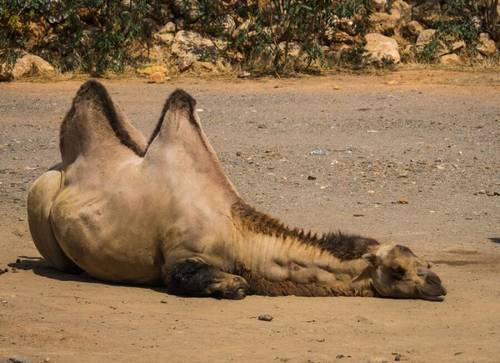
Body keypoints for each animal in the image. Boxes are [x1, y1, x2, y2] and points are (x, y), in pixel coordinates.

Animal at [27, 81, 448, 302]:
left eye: (422, 259)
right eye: (398, 269)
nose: (437, 283)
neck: (239, 234)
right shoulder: (179, 257)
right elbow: (193, 278)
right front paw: (232, 285)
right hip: (38, 198)